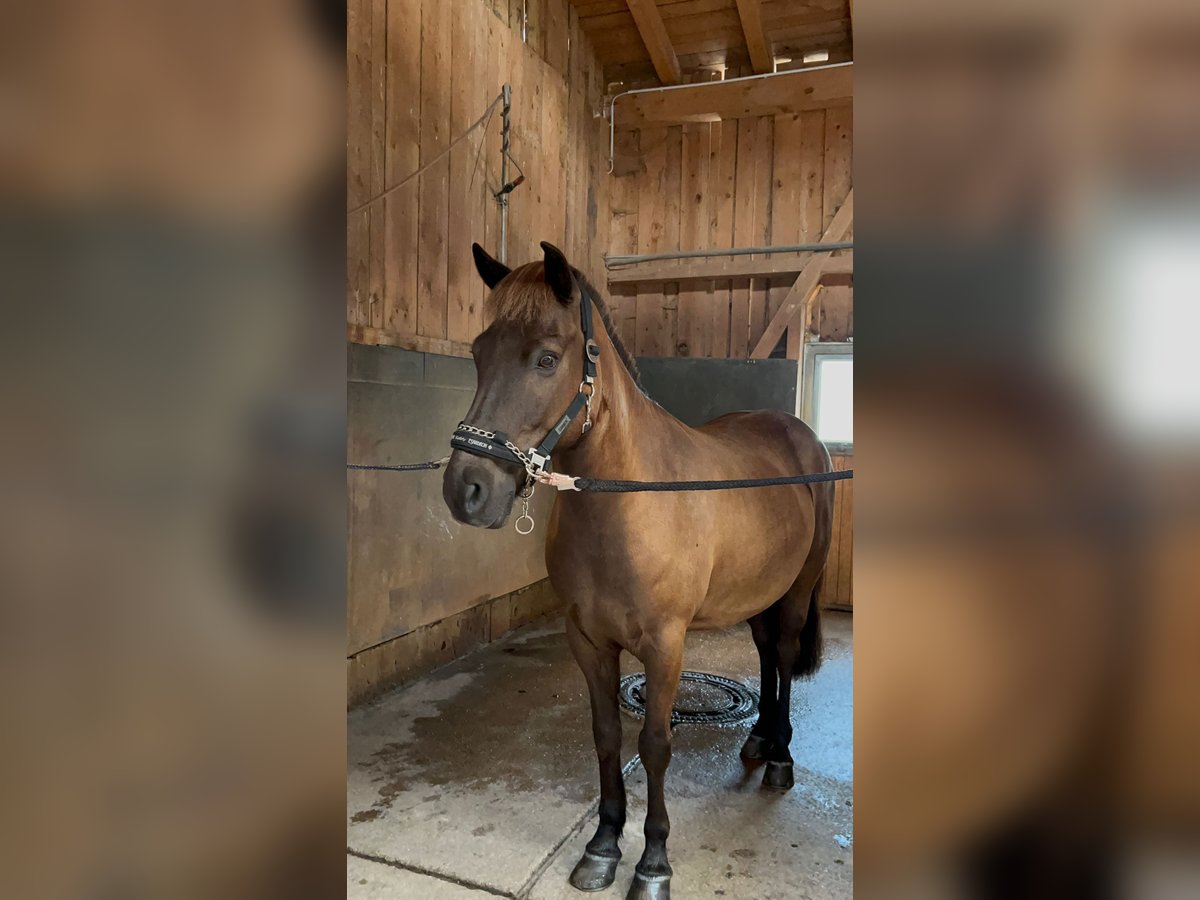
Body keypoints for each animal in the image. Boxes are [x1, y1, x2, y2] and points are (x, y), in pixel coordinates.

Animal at [444, 243, 835, 897]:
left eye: (546, 358)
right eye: (478, 353)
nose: (466, 490)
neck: (627, 504)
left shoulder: (665, 645)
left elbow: (654, 745)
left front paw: (653, 861)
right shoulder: (588, 640)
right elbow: (606, 737)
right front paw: (603, 845)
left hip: (798, 590)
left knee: (781, 655)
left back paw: (780, 757)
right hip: (757, 594)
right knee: (762, 651)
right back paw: (758, 740)